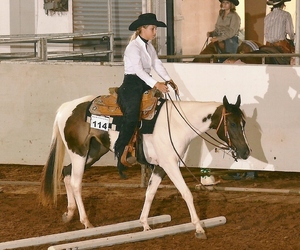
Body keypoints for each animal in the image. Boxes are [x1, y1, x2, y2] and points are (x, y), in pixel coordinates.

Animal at [39, 94, 251, 238]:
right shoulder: (170, 164)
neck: (177, 124)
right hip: (80, 153)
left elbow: (150, 193)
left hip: (93, 152)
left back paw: (69, 213)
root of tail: (65, 108)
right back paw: (87, 222)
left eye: (243, 123)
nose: (245, 152)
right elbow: (186, 193)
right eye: (232, 124)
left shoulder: (161, 167)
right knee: (76, 182)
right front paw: (199, 228)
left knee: (66, 172)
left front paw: (145, 224)